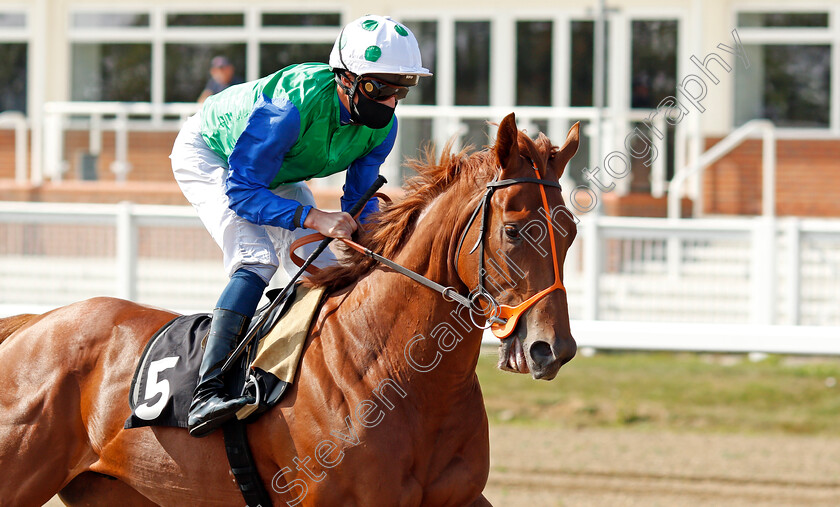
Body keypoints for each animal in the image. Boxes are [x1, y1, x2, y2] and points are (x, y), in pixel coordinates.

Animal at [0, 113, 576, 506]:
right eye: (513, 231)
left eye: (569, 230)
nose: (553, 348)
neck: (393, 370)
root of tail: (33, 323)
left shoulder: (460, 496)